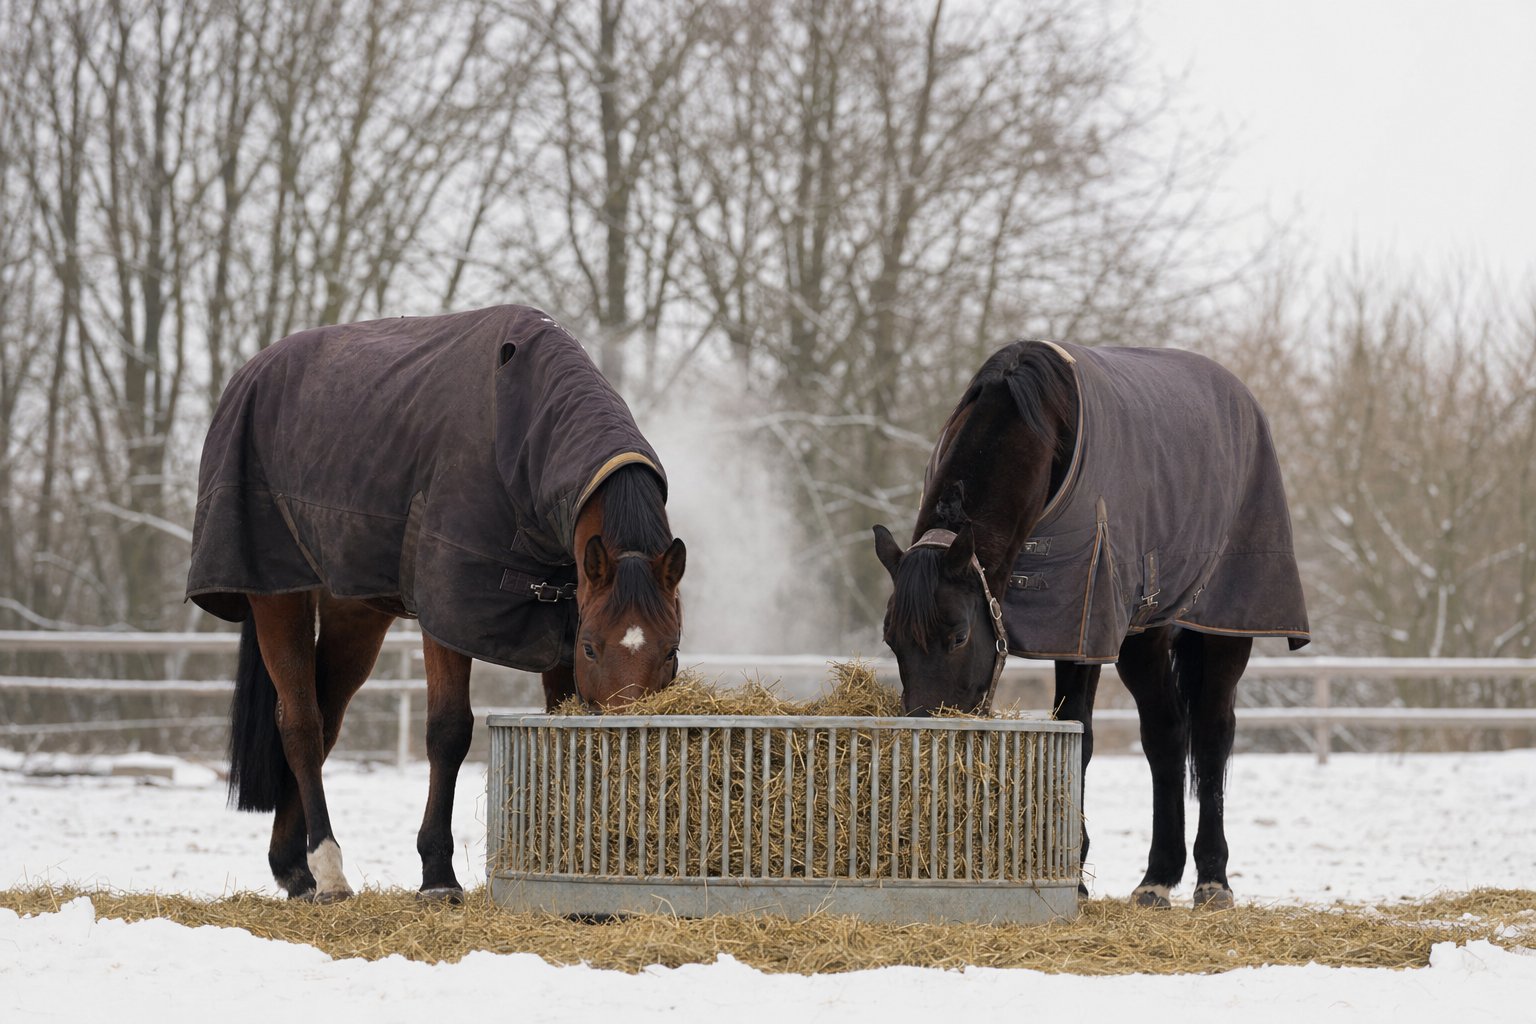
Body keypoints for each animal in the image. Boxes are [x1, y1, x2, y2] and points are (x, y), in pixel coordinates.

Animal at [187, 305, 685, 902]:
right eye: (592, 649)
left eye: (671, 652)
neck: (518, 431)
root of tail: (251, 373)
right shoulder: (449, 614)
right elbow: (448, 732)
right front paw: (438, 874)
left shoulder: (561, 618)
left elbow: (557, 724)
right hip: (275, 595)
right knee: (301, 724)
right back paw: (328, 870)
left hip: (357, 612)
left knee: (326, 719)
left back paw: (293, 868)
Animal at [872, 340, 1309, 909]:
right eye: (891, 641)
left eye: (959, 636)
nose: (926, 742)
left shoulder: (1083, 622)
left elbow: (1078, 732)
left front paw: (1073, 874)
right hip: (1143, 636)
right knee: (1165, 734)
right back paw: (1156, 878)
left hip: (1220, 630)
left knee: (1212, 734)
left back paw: (1212, 879)